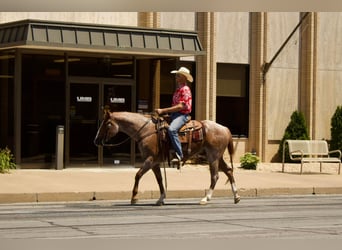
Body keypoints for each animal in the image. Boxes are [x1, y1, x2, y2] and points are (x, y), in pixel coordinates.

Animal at [94, 110, 240, 206]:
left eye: (107, 124)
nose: (96, 141)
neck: (146, 131)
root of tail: (225, 128)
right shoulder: (155, 163)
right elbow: (159, 180)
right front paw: (161, 199)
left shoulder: (150, 160)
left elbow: (138, 175)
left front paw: (134, 198)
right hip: (217, 156)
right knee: (228, 171)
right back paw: (236, 196)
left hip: (213, 156)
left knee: (215, 176)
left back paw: (206, 198)